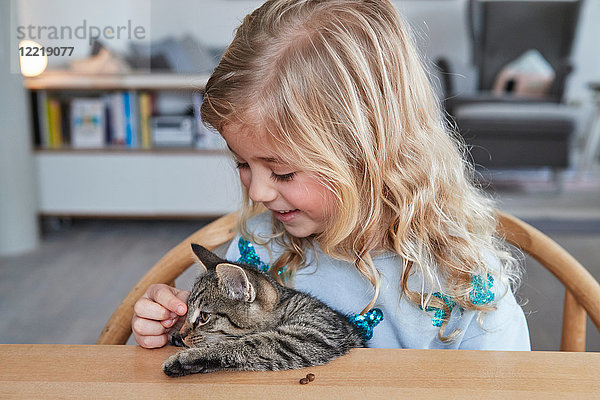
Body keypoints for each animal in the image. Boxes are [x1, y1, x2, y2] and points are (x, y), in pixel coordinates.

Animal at [162, 242, 364, 376]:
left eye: (204, 316)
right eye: (187, 311)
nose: (182, 334)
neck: (284, 307)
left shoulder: (310, 334)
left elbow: (245, 344)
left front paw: (187, 358)